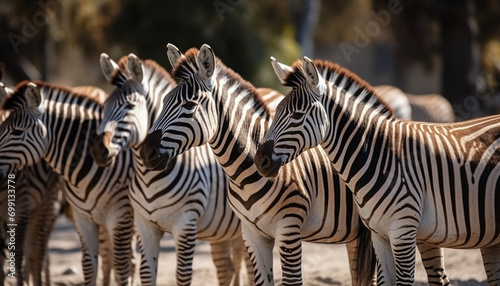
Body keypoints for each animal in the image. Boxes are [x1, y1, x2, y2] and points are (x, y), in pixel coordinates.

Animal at [90, 52, 250, 286]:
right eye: (105, 107)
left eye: (130, 107)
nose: (97, 151)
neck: (149, 177)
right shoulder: (145, 225)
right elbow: (147, 274)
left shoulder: (185, 225)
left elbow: (182, 276)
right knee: (227, 268)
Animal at [256, 56, 500, 286]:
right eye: (276, 112)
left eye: (297, 115)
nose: (260, 160)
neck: (381, 156)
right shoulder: (379, 235)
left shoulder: (403, 230)